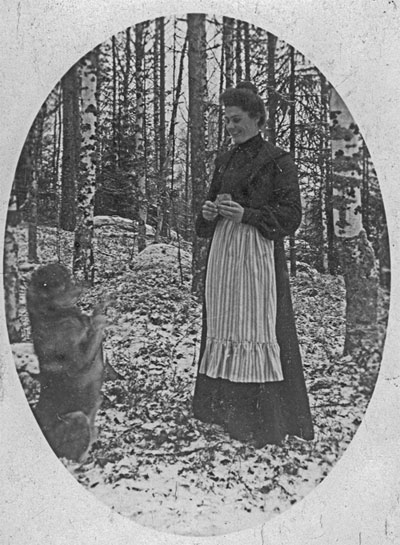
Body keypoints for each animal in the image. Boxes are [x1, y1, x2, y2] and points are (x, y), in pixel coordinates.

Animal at [26, 263, 108, 462]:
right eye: (60, 283)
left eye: (69, 276)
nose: (85, 283)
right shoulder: (82, 361)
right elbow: (95, 327)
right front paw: (99, 316)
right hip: (77, 418)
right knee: (76, 460)